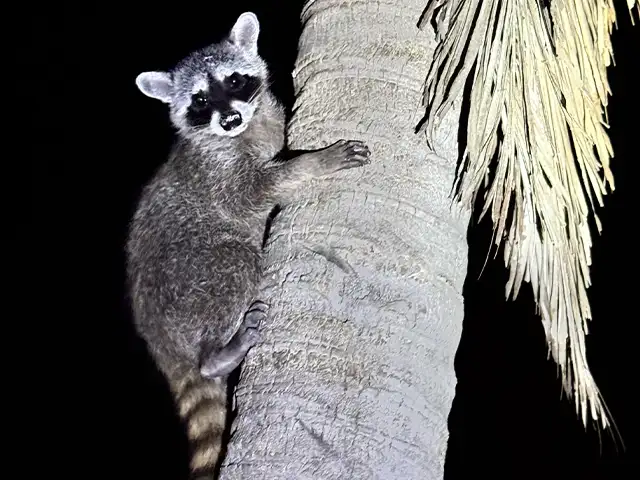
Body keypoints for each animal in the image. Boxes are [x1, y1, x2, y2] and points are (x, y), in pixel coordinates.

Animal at [126, 11, 371, 479]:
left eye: (235, 80)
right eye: (200, 100)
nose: (228, 119)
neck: (246, 128)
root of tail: (161, 342)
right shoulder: (218, 172)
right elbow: (253, 192)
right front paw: (314, 161)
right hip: (193, 272)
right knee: (236, 263)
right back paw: (215, 354)